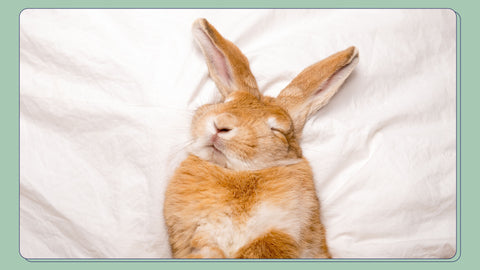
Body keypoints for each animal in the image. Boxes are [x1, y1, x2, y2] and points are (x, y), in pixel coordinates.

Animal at [163, 17, 358, 258]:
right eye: (226, 102)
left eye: (277, 130)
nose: (221, 125)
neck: (237, 172)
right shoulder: (198, 240)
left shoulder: (279, 235)